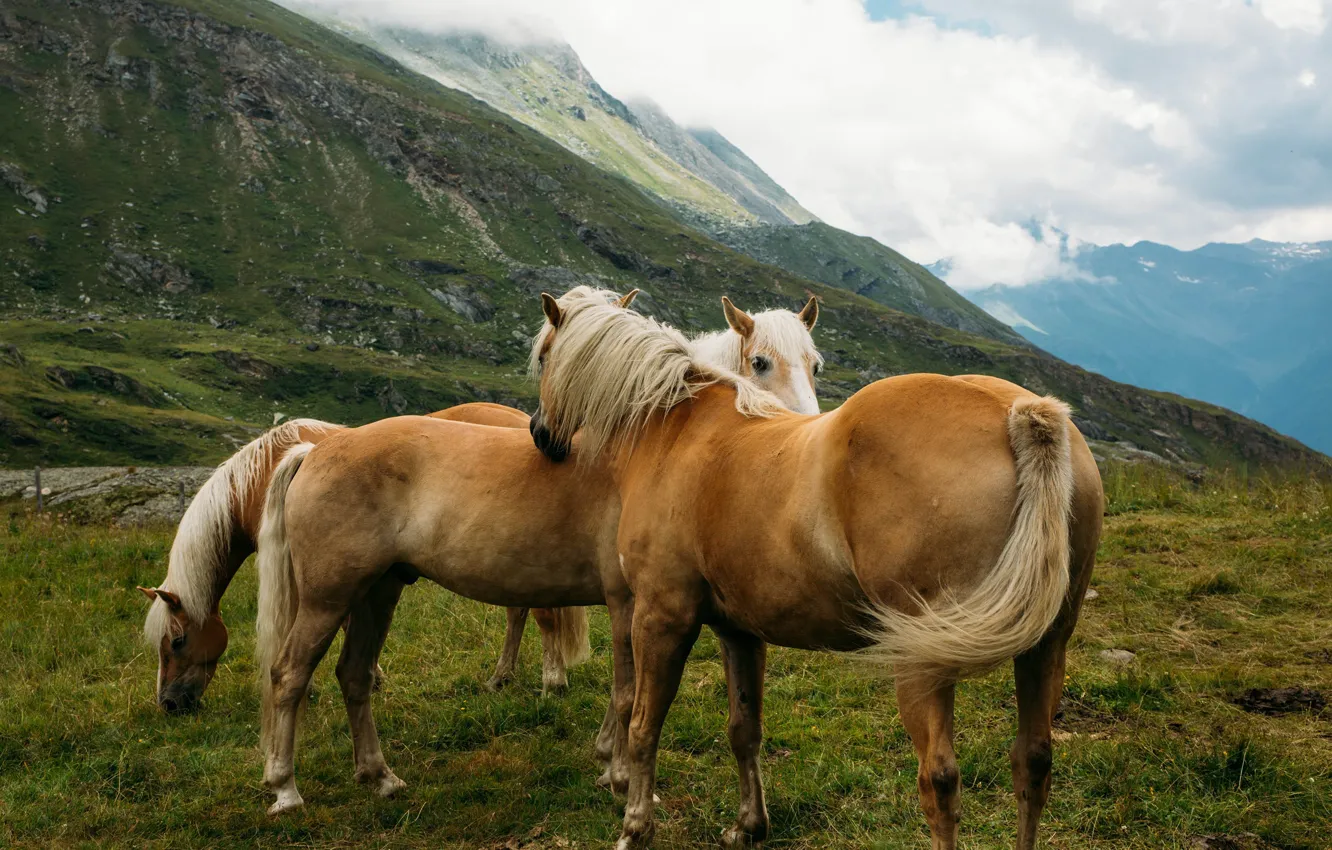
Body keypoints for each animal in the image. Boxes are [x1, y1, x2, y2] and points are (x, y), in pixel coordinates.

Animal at [528, 287, 1104, 850]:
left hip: (925, 662)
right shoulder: (739, 631)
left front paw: (635, 826)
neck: (677, 426)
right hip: (1046, 645)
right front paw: (749, 825)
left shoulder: (660, 617)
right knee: (1032, 762)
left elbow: (644, 725)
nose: (540, 434)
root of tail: (1020, 411)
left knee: (940, 781)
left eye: (541, 357)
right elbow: (744, 728)